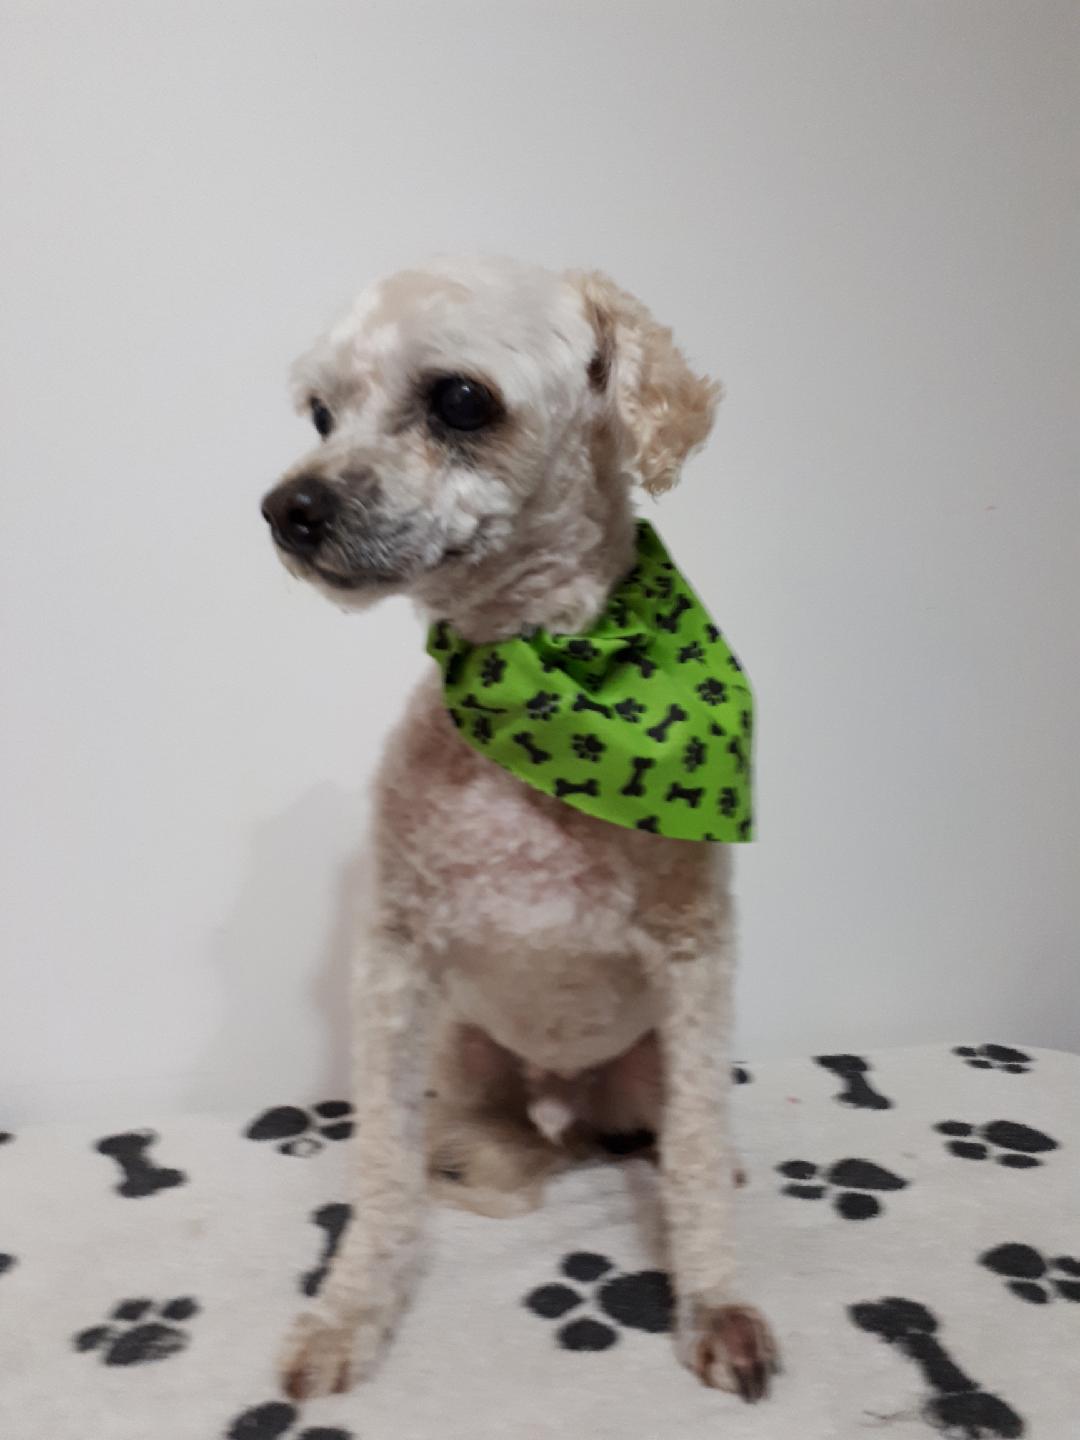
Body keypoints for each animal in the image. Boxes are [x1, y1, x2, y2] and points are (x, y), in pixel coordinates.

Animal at [261, 257, 778, 1402]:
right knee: (482, 1143)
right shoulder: (394, 963)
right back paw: (473, 1154)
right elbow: (379, 1168)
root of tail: (565, 1095)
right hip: (467, 1053)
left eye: (459, 399)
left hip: (651, 1065)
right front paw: (349, 1314)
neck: (537, 693)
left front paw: (715, 1301)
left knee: (669, 1135)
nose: (285, 507)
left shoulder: (698, 961)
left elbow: (694, 1171)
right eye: (321, 412)